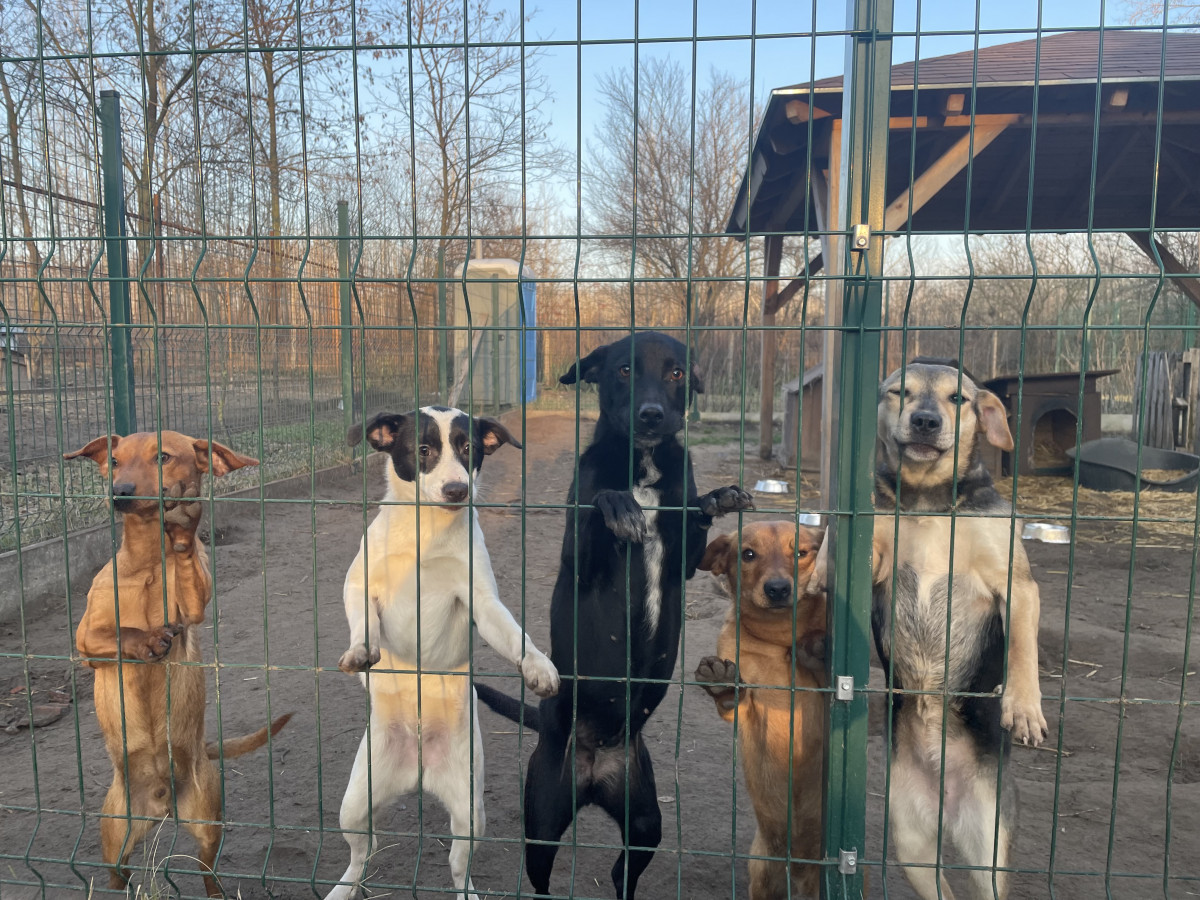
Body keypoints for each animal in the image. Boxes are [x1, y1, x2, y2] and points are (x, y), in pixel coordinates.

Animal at [66, 431, 290, 897]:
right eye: (115, 461)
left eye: (164, 457)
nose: (120, 492)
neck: (149, 560)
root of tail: (161, 804)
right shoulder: (86, 643)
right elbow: (122, 634)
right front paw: (148, 639)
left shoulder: (193, 610)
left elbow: (188, 576)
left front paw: (185, 526)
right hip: (113, 834)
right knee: (117, 874)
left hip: (208, 821)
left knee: (208, 871)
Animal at [326, 406, 559, 900]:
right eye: (423, 449)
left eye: (469, 448)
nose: (457, 490)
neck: (425, 536)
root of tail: (419, 770)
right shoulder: (359, 586)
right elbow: (364, 621)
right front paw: (362, 651)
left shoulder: (481, 602)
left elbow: (515, 635)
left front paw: (537, 667)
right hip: (355, 803)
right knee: (361, 853)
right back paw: (343, 888)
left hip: (471, 814)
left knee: (457, 865)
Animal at [474, 331, 753, 899]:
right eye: (624, 370)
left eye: (675, 373)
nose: (651, 415)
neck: (642, 465)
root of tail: (594, 768)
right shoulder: (578, 560)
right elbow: (598, 507)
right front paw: (620, 505)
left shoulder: (684, 562)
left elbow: (694, 517)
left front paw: (718, 497)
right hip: (544, 813)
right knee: (540, 875)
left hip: (645, 818)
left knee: (623, 871)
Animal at [694, 520, 827, 900]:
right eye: (748, 554)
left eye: (801, 552)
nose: (778, 589)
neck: (777, 637)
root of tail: (799, 869)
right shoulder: (742, 711)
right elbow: (732, 698)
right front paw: (722, 683)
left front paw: (815, 651)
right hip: (762, 875)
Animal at [871, 362, 1047, 900]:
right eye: (900, 392)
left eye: (958, 399)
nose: (926, 421)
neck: (929, 500)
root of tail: (945, 799)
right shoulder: (875, 555)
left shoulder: (1017, 585)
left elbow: (1024, 650)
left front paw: (1023, 706)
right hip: (910, 842)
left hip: (988, 844)